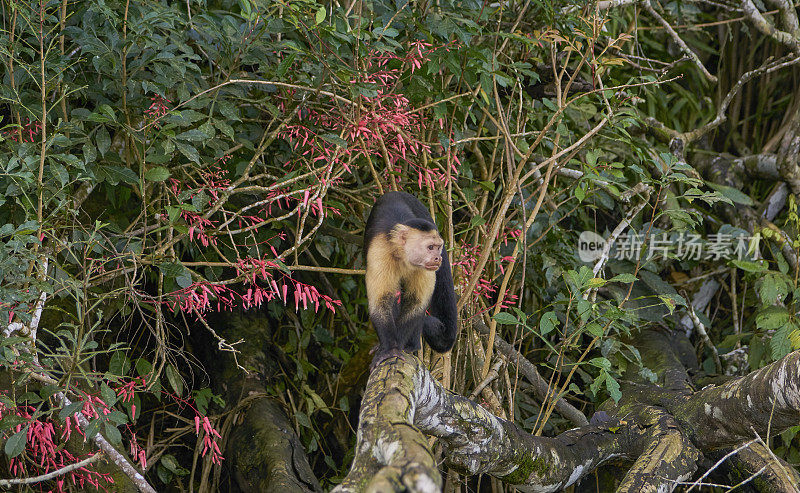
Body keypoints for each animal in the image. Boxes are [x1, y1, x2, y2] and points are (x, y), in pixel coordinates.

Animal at [362, 190, 456, 364]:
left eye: (438, 247)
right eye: (430, 247)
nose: (438, 258)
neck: (403, 256)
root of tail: (398, 192)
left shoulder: (425, 269)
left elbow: (416, 304)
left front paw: (396, 346)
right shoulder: (380, 253)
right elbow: (381, 302)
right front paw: (390, 348)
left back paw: (412, 345)